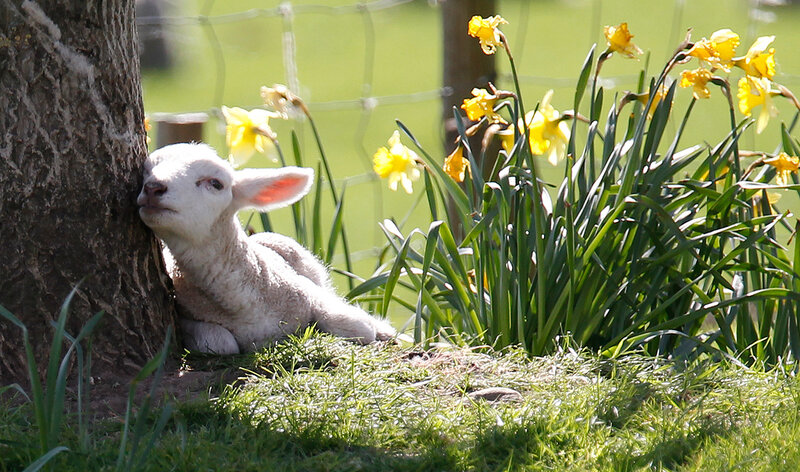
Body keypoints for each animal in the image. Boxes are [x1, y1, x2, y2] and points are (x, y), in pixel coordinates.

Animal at [136, 142, 396, 354]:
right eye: (146, 171)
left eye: (216, 183)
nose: (153, 187)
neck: (244, 305)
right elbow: (220, 343)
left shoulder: (308, 290)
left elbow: (358, 327)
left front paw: (376, 329)